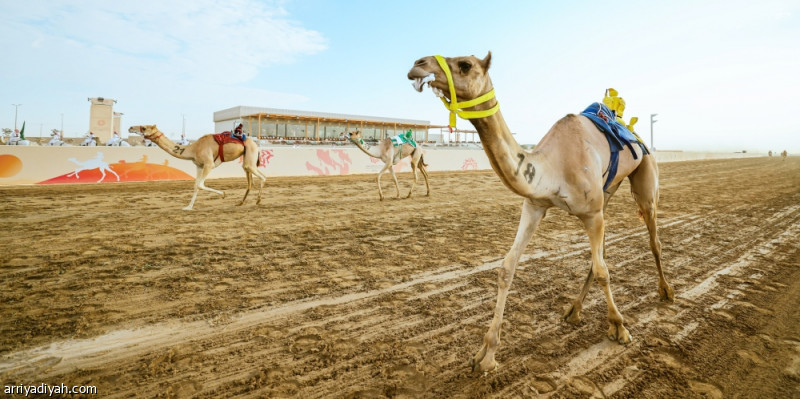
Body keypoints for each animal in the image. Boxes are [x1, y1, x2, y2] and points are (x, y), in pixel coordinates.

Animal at [130, 124, 268, 212]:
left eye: (144, 127)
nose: (130, 127)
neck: (193, 148)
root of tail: (254, 142)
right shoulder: (199, 166)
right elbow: (196, 186)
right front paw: (188, 207)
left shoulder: (209, 164)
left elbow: (201, 184)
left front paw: (223, 194)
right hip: (246, 158)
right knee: (250, 180)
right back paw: (241, 202)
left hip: (250, 155)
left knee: (263, 176)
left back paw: (258, 200)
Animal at [406, 51, 676, 374]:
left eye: (465, 65)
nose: (418, 65)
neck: (553, 167)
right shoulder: (535, 205)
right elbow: (507, 268)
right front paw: (486, 354)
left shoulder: (592, 213)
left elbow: (603, 271)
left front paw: (620, 328)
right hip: (607, 192)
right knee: (602, 253)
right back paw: (574, 310)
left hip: (645, 176)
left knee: (652, 239)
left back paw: (666, 291)